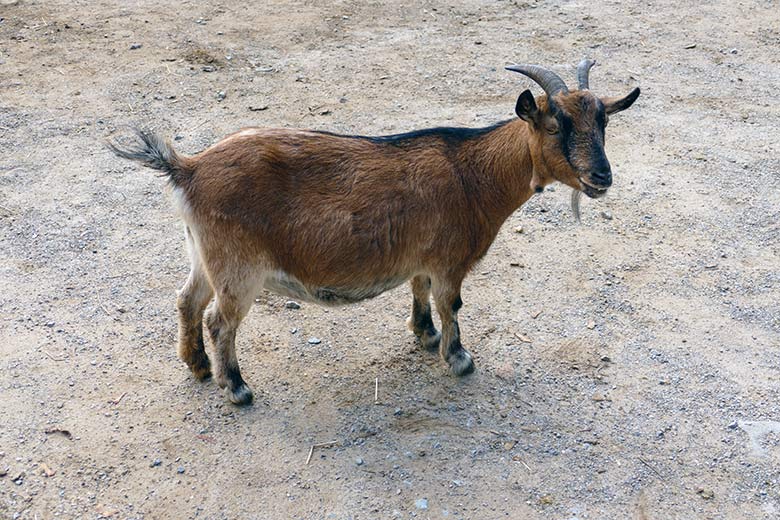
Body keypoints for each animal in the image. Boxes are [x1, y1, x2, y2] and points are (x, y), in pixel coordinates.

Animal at [108, 59, 640, 404]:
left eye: (603, 120)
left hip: (204, 252)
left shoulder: (423, 257)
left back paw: (198, 367)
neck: (474, 173)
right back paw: (236, 387)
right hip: (239, 266)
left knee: (187, 300)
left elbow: (420, 290)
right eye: (555, 124)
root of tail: (188, 167)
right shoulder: (450, 260)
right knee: (220, 319)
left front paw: (424, 335)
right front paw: (458, 359)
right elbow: (451, 304)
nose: (602, 176)